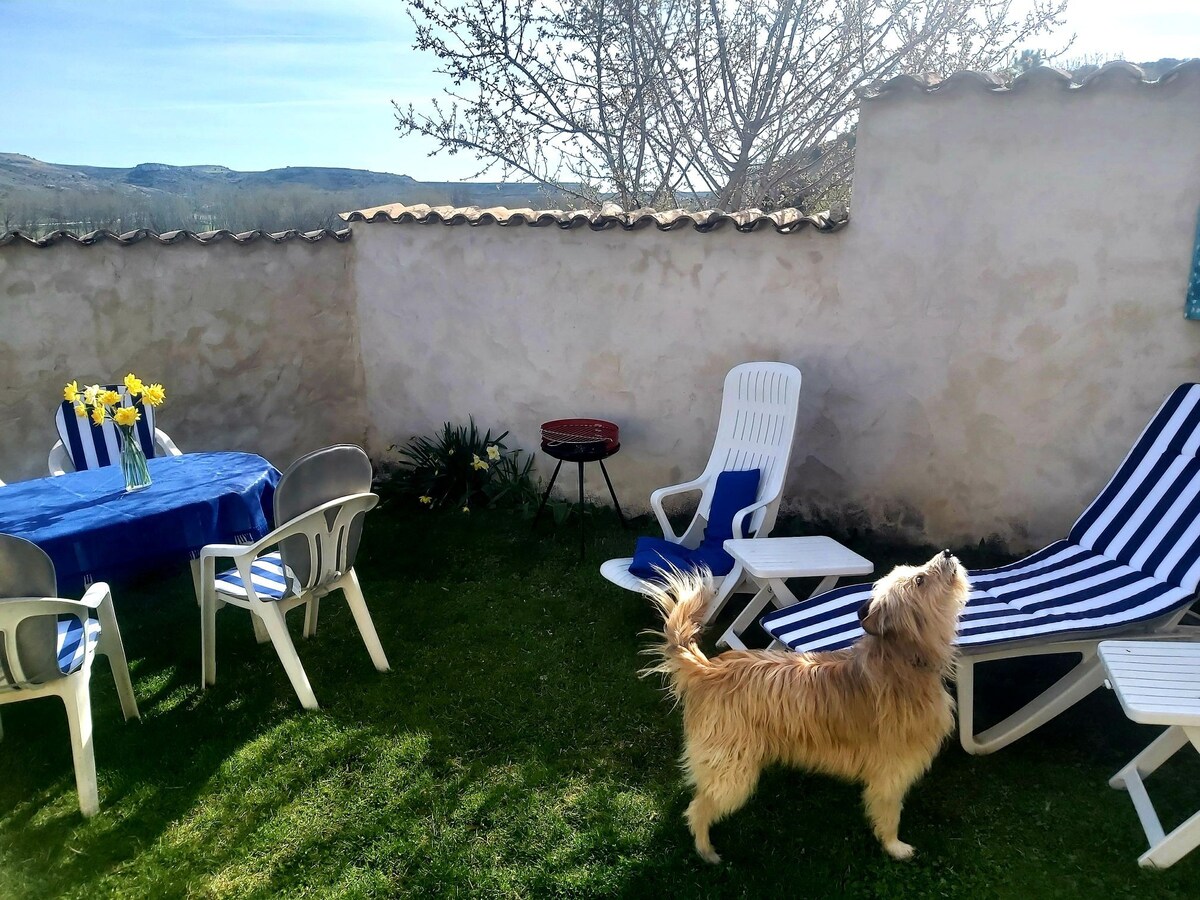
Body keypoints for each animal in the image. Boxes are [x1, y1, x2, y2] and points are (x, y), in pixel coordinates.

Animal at [643, 549, 969, 868]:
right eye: (919, 579)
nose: (947, 552)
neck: (901, 660)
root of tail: (709, 669)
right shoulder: (893, 773)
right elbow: (889, 815)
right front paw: (894, 847)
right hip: (731, 772)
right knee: (697, 808)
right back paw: (706, 851)